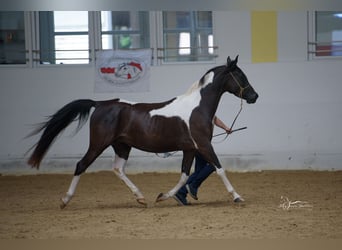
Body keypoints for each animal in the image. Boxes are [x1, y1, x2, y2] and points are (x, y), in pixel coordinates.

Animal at [27, 55, 260, 208]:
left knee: (118, 169)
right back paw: (65, 200)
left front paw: (164, 196)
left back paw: (140, 197)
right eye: (240, 75)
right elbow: (219, 169)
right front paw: (237, 196)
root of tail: (100, 104)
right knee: (81, 165)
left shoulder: (189, 149)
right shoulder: (203, 145)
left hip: (122, 146)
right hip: (98, 144)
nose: (254, 96)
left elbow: (185, 176)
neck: (197, 107)